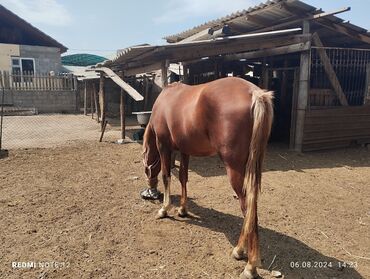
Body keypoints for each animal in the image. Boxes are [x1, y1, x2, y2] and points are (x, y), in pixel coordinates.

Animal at [143, 76, 274, 279]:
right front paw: (182, 209)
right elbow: (183, 177)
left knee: (247, 207)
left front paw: (164, 209)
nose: (150, 189)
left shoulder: (164, 146)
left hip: (235, 170)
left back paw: (248, 262)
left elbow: (166, 176)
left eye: (145, 167)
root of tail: (255, 94)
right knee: (252, 209)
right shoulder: (185, 150)